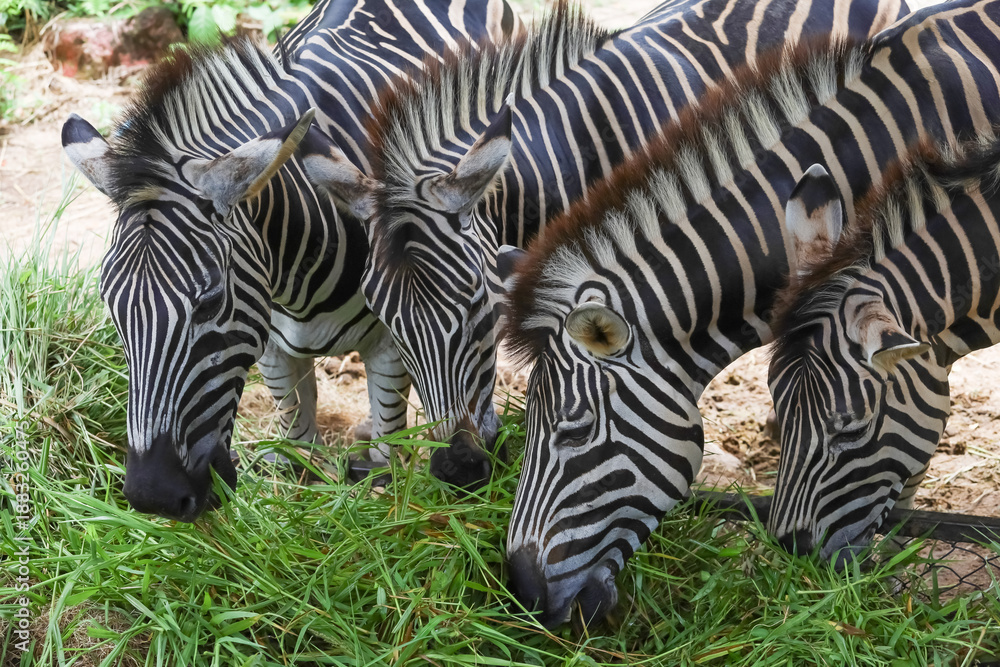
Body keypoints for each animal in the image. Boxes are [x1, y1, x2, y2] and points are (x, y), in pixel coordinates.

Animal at [60, 0, 522, 522]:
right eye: (110, 306)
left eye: (210, 302)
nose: (153, 496)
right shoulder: (273, 349)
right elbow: (300, 455)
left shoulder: (390, 342)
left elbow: (388, 453)